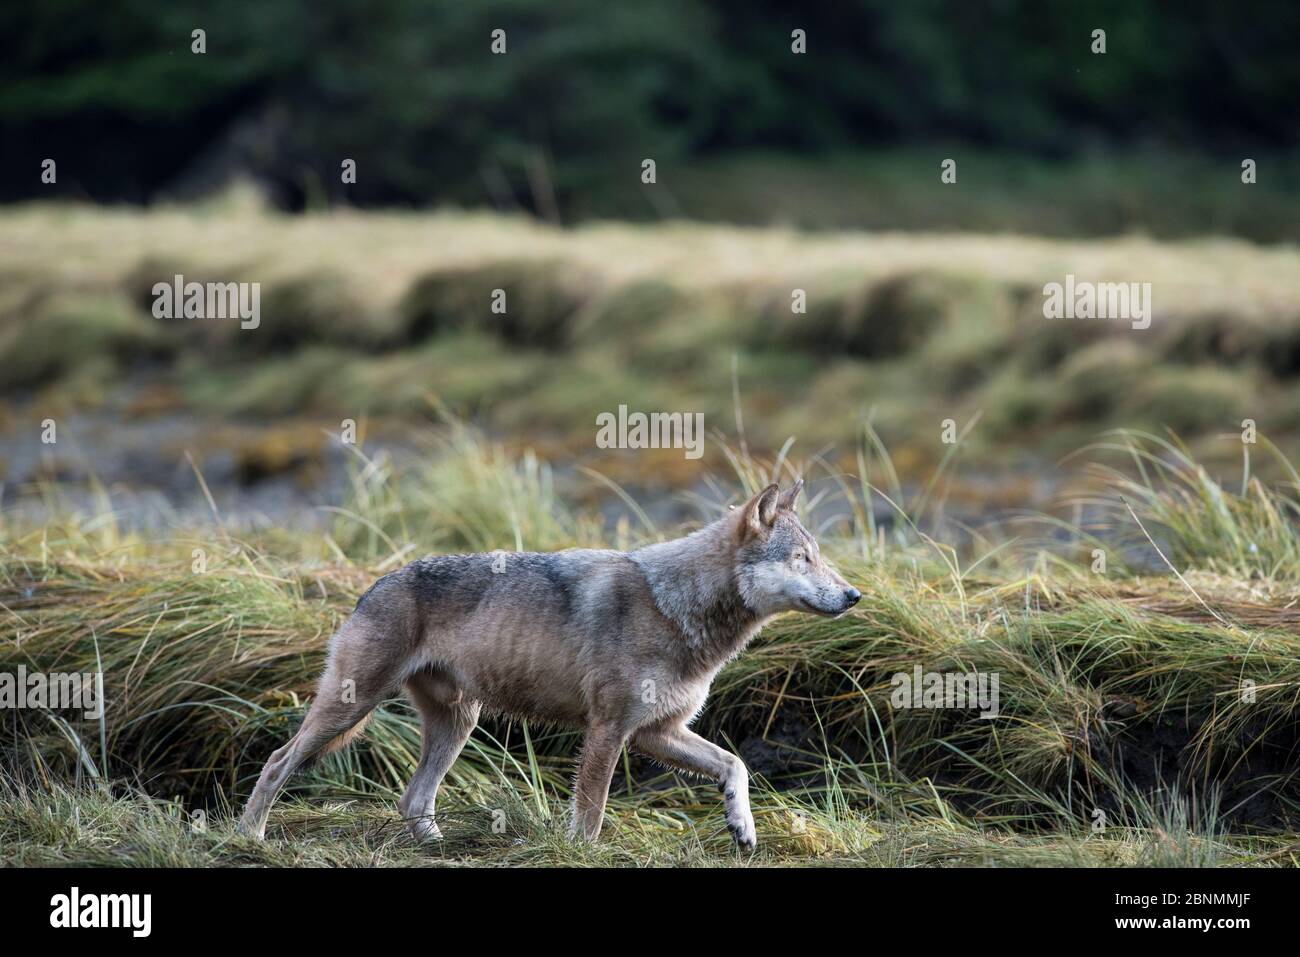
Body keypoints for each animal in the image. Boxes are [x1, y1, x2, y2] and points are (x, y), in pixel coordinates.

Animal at [239, 481, 857, 847]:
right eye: (802, 559)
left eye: (819, 557)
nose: (854, 596)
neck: (674, 607)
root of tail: (375, 583)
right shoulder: (609, 731)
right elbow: (592, 812)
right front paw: (583, 853)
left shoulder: (656, 732)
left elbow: (737, 765)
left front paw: (741, 826)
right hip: (352, 709)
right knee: (276, 761)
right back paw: (249, 837)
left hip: (459, 723)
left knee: (412, 798)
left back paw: (439, 846)